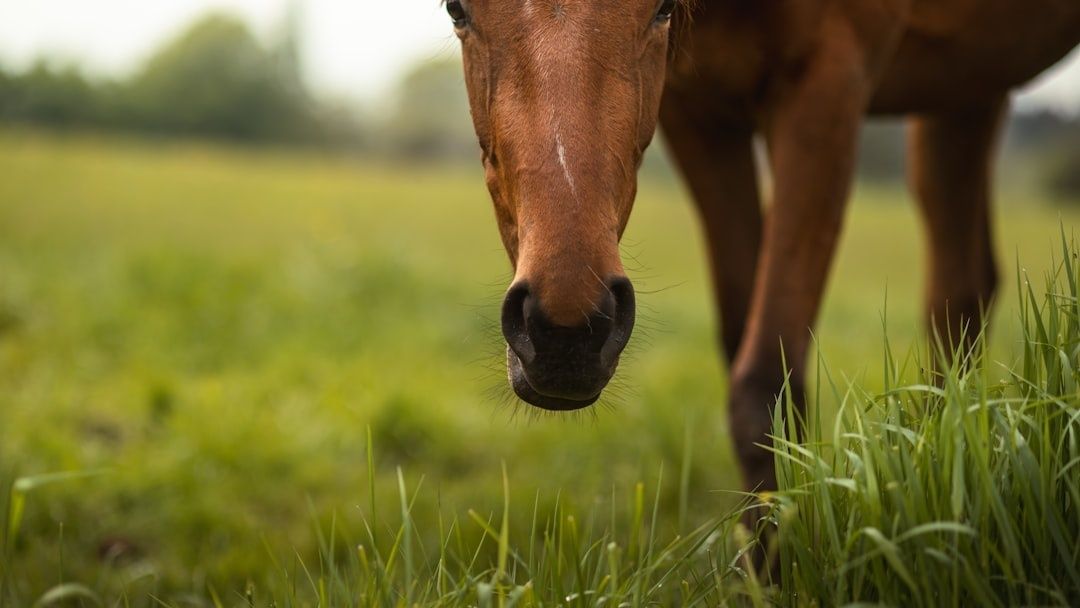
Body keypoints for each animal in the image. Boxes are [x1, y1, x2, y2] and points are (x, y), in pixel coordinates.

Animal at [443, 0, 1080, 494]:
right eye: (456, 9)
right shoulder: (699, 114)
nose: (567, 331)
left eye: (663, 8)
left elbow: (764, 391)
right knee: (960, 296)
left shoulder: (826, 81)